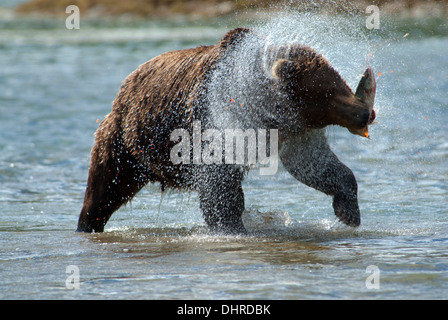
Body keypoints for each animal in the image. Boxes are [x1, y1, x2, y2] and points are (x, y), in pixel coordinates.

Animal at [76, 27, 374, 234]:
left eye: (339, 82)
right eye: (327, 92)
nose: (365, 113)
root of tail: (125, 87)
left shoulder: (296, 131)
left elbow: (314, 164)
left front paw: (348, 212)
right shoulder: (214, 124)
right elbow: (220, 185)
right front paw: (232, 227)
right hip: (125, 141)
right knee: (104, 187)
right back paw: (87, 224)